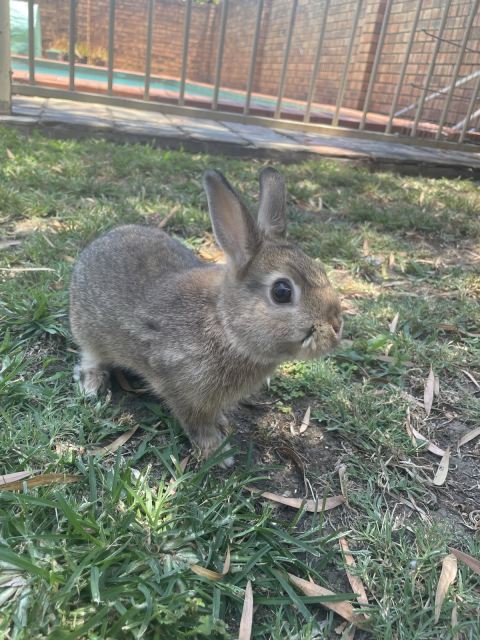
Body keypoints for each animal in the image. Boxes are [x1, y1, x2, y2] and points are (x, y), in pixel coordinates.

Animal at [69, 168, 343, 466]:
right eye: (281, 291)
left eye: (321, 269)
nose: (336, 327)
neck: (225, 325)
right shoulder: (183, 389)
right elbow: (195, 422)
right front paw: (217, 451)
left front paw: (222, 425)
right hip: (89, 331)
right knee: (90, 356)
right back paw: (92, 384)